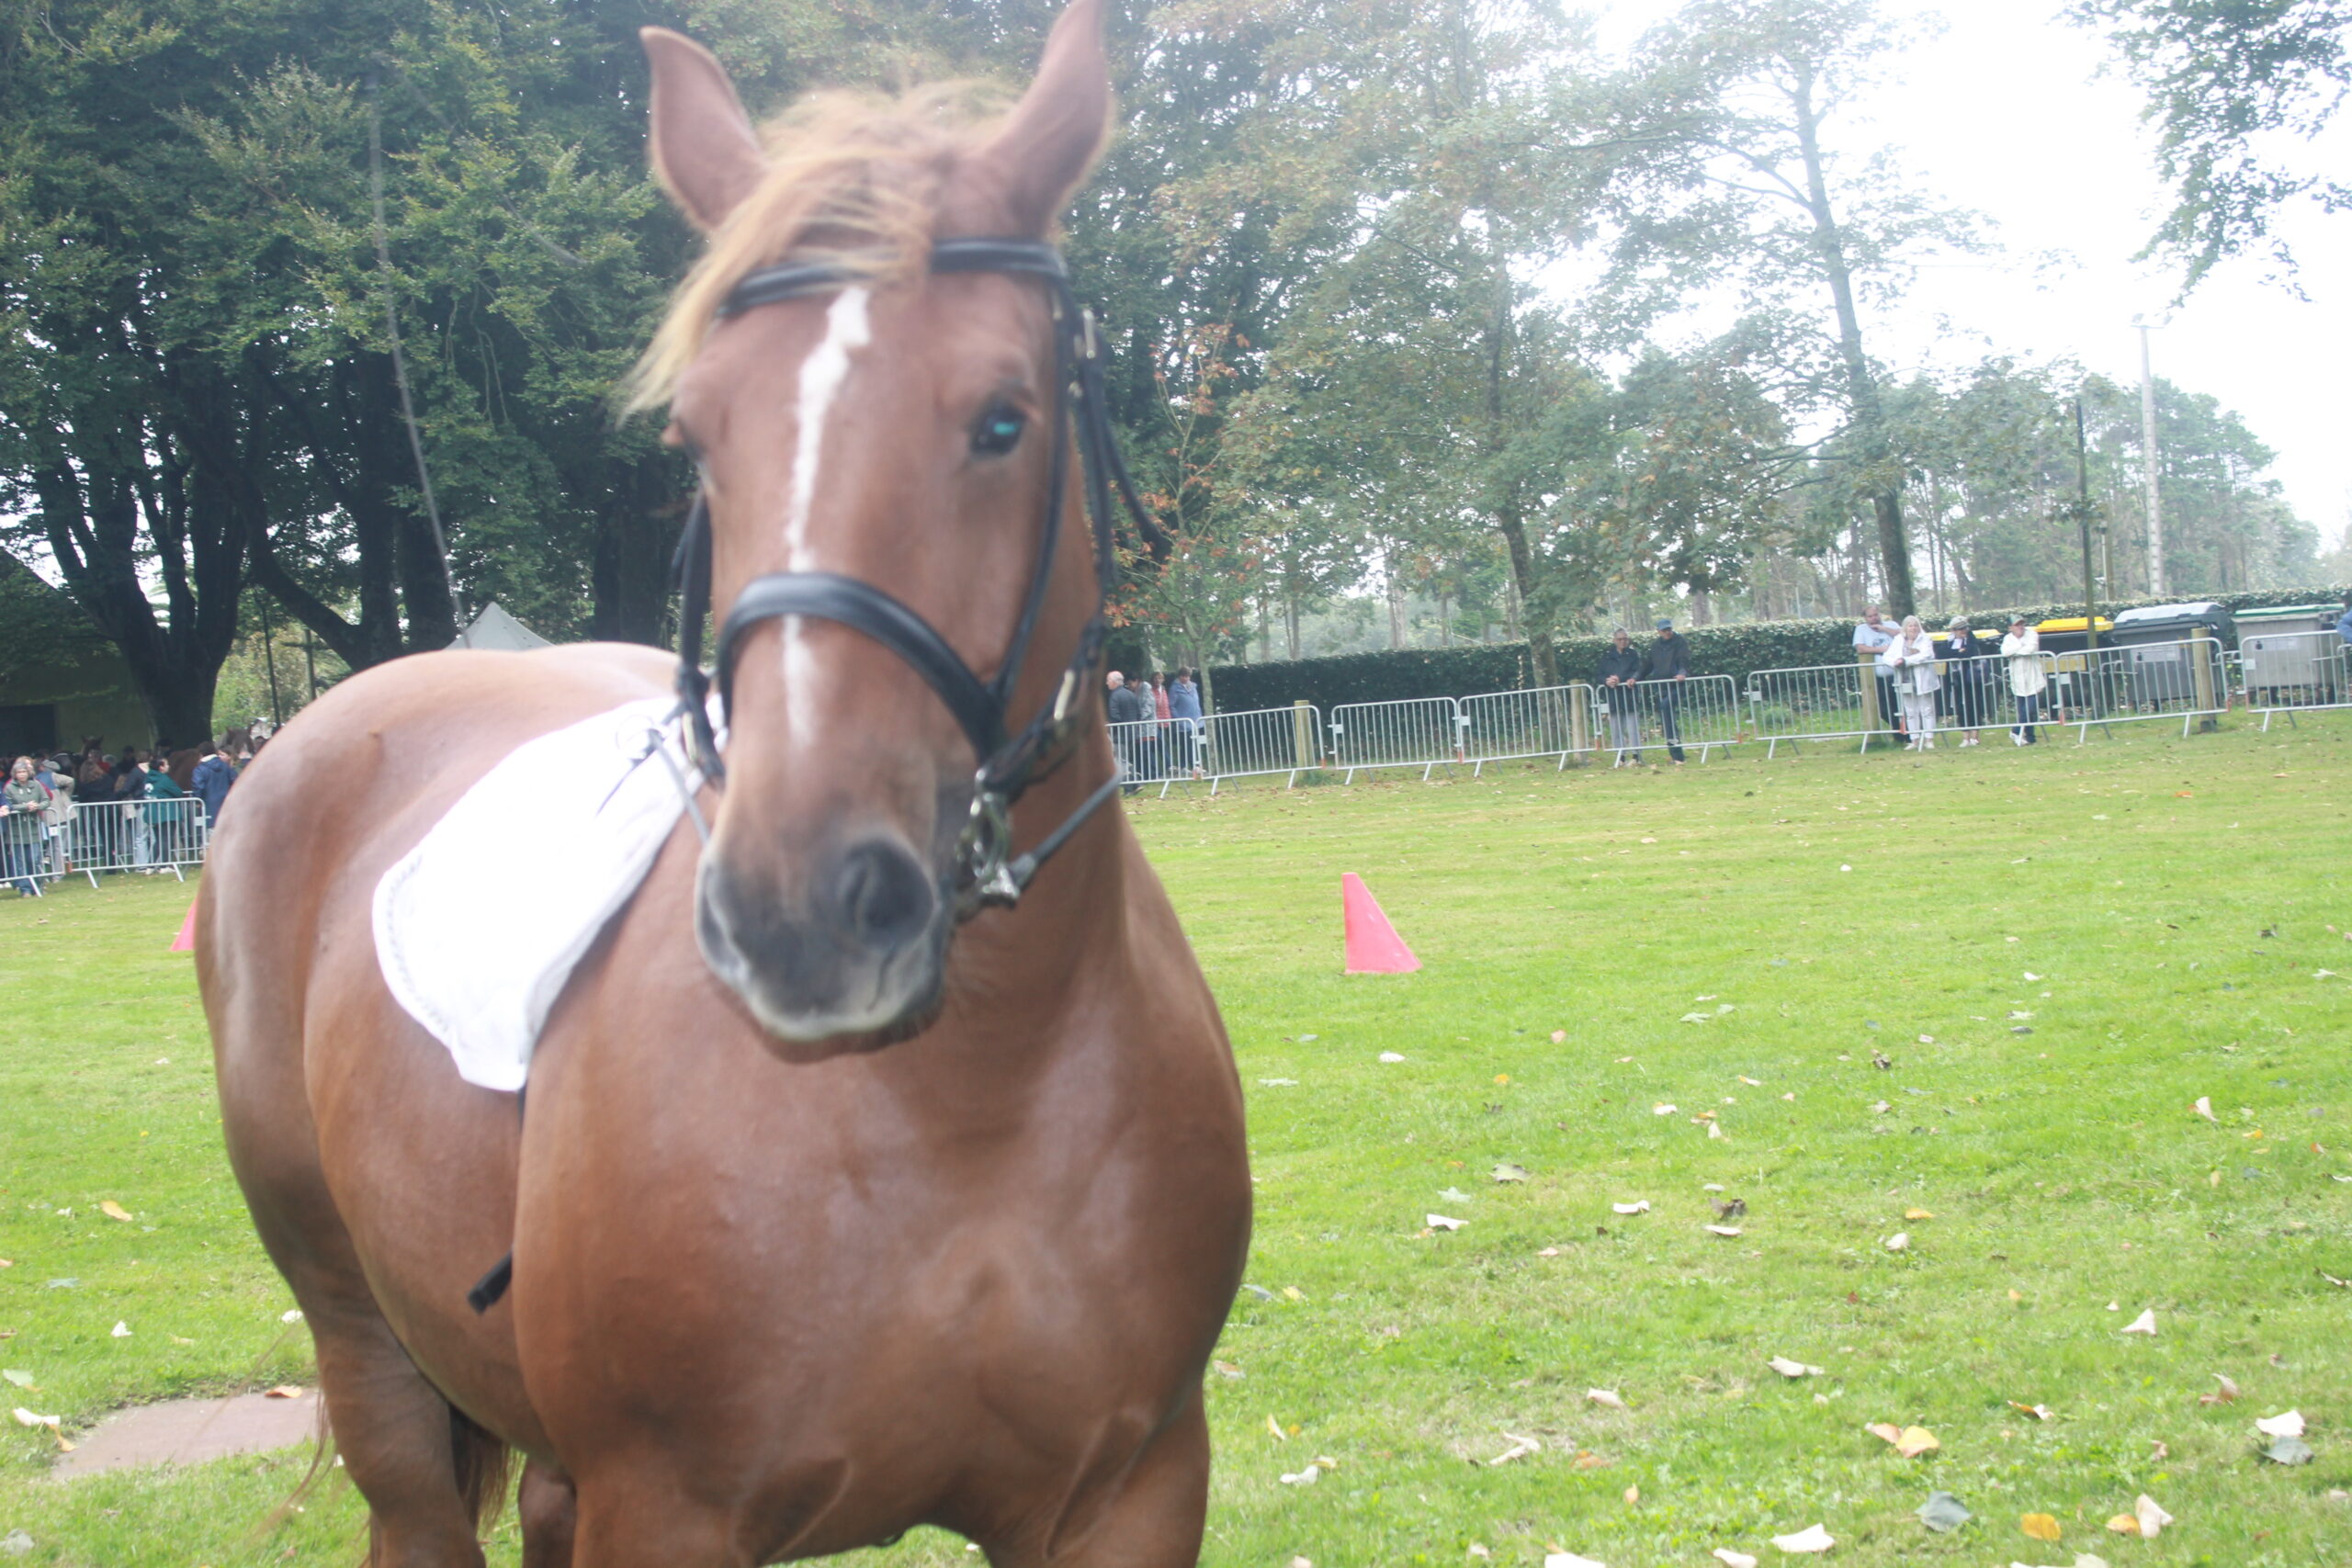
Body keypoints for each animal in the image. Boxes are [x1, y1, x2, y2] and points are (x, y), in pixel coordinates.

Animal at [197, 6, 1252, 1562]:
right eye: (698, 436)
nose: (801, 910)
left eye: (1003, 420)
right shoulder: (669, 1506)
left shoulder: (1130, 1491)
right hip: (361, 1335)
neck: (965, 1096)